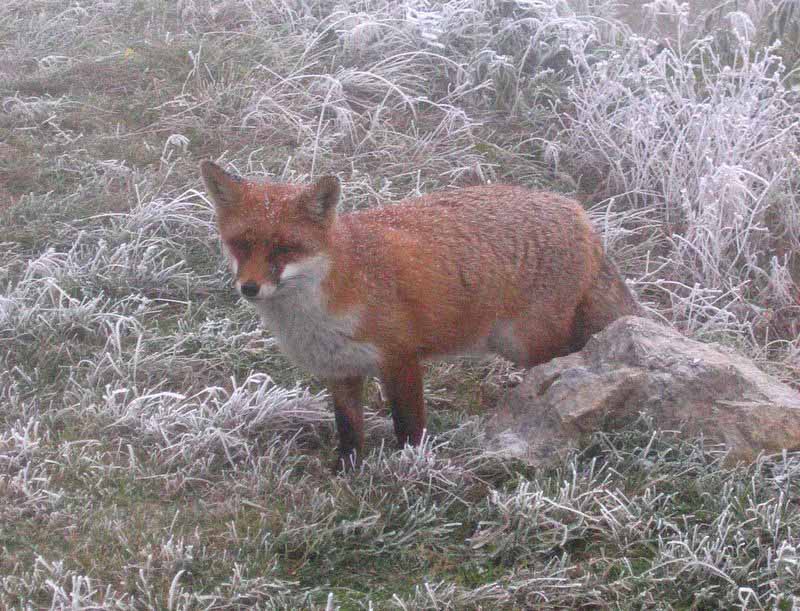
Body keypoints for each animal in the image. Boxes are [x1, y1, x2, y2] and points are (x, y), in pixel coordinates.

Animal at [200, 161, 636, 468]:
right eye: (240, 245)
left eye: (284, 249)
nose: (249, 288)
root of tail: (580, 215)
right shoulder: (340, 370)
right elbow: (349, 432)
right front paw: (346, 474)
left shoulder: (402, 360)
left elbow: (409, 429)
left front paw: (411, 470)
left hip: (531, 344)